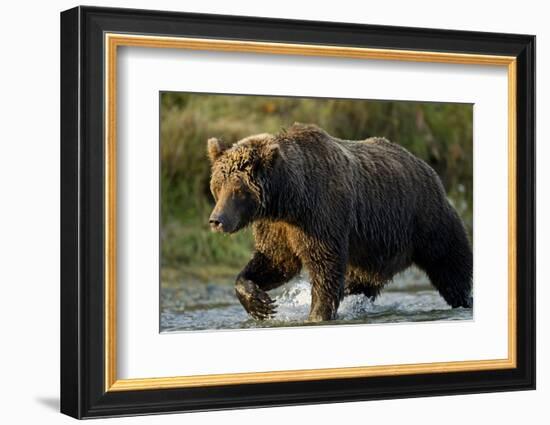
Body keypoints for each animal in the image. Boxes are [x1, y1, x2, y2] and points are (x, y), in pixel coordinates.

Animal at [207, 122, 474, 322]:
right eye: (218, 186)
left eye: (238, 189)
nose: (216, 220)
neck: (290, 199)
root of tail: (427, 167)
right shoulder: (277, 226)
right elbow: (276, 261)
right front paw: (259, 303)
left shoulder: (322, 216)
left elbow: (325, 268)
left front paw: (316, 314)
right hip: (373, 252)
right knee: (361, 283)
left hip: (427, 221)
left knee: (452, 269)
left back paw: (465, 301)